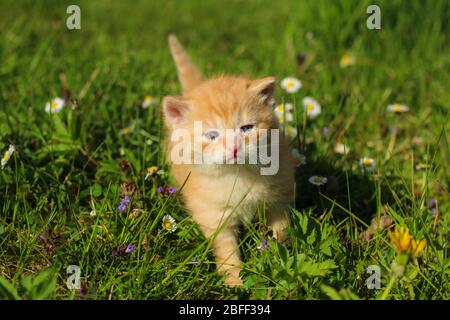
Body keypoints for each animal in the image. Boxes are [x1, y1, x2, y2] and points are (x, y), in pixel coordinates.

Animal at [162, 35, 296, 288]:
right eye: (212, 135)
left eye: (246, 128)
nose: (234, 148)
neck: (239, 174)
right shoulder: (214, 214)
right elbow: (225, 248)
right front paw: (234, 280)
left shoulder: (280, 195)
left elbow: (281, 228)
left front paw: (278, 257)